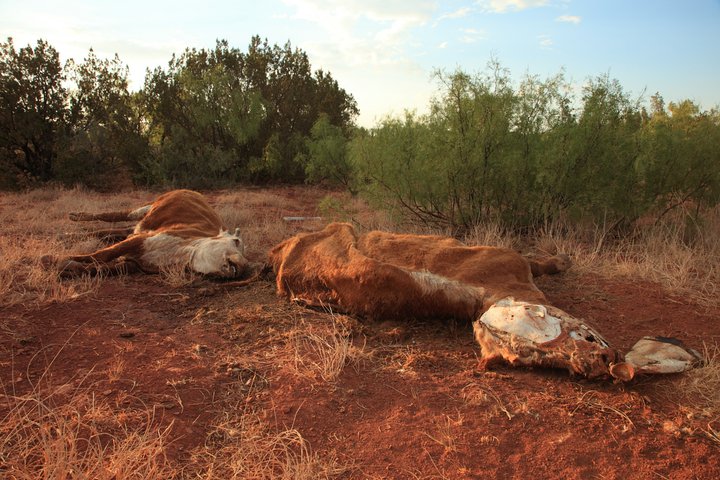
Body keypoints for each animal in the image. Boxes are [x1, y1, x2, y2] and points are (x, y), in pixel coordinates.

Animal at [47, 188, 250, 278]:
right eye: (236, 241)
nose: (243, 267)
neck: (185, 251)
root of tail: (192, 191)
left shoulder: (134, 263)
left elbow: (101, 268)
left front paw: (67, 267)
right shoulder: (140, 240)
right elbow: (102, 254)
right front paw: (52, 259)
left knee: (113, 231)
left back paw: (67, 235)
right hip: (145, 209)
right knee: (113, 215)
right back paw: (74, 217)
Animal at [268, 222, 696, 382]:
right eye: (586, 342)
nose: (607, 360)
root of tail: (278, 256)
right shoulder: (509, 260)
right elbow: (541, 262)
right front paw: (562, 260)